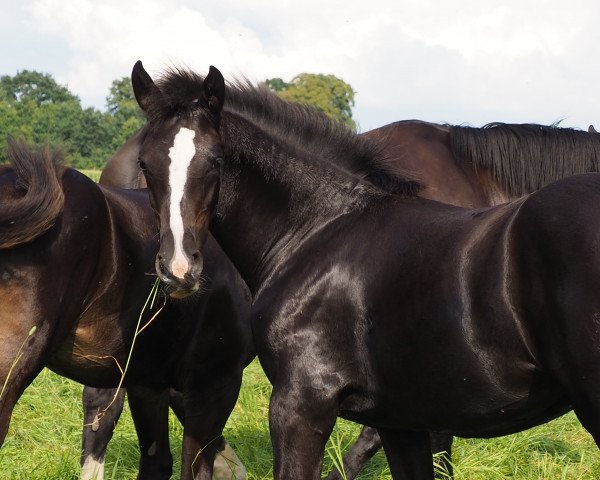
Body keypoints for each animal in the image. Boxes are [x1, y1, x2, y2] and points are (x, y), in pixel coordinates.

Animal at [126, 61, 600, 480]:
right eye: (146, 164)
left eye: (216, 160)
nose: (179, 269)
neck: (319, 227)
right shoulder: (400, 421)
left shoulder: (300, 405)